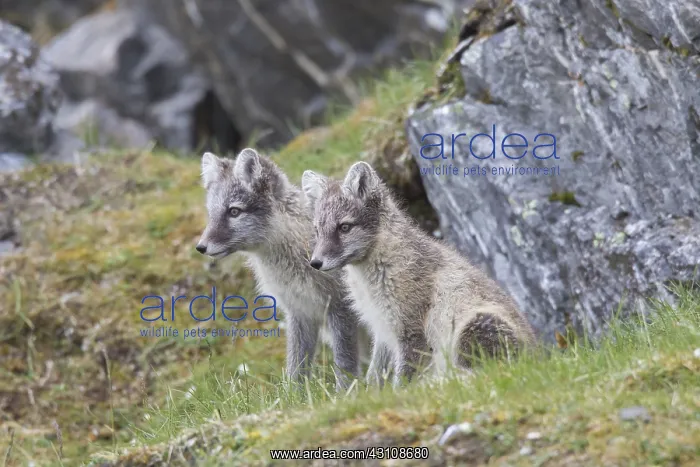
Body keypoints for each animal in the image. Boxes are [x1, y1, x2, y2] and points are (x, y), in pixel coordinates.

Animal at [195, 148, 368, 390]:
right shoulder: (300, 312)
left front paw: (345, 393)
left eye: (234, 212)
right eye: (212, 213)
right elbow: (296, 366)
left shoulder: (340, 308)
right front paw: (295, 394)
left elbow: (345, 364)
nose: (201, 247)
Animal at [301, 161, 536, 386]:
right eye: (317, 230)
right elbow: (375, 374)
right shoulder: (382, 329)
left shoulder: (410, 331)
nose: (315, 263)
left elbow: (402, 380)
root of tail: (538, 354)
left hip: (475, 326)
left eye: (344, 227)